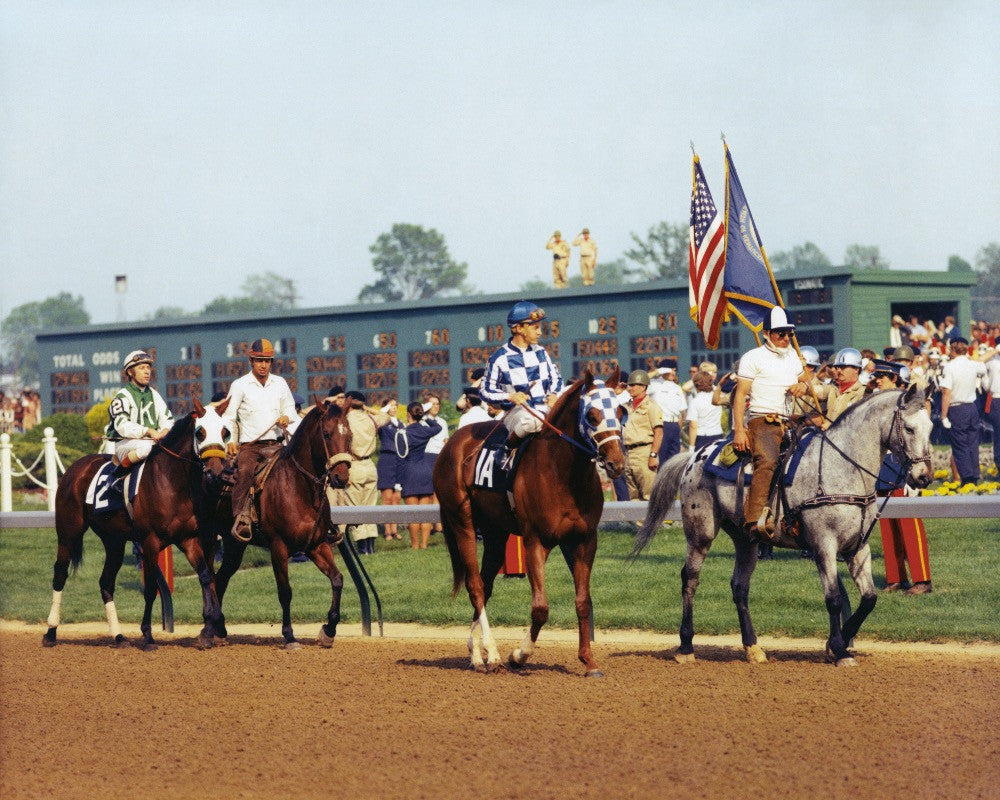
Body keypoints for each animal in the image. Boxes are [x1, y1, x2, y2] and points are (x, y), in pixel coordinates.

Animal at [45, 398, 232, 648]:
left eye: (225, 431)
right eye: (200, 433)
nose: (215, 473)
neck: (172, 483)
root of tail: (75, 468)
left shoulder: (188, 539)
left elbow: (205, 576)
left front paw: (209, 629)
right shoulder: (151, 541)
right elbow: (151, 588)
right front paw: (148, 635)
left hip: (113, 541)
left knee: (106, 582)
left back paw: (118, 636)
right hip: (69, 533)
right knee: (60, 574)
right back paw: (50, 632)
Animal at [210, 404, 352, 652]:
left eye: (350, 435)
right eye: (326, 433)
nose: (341, 477)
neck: (299, 488)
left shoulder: (316, 545)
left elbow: (337, 579)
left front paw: (328, 631)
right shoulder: (278, 546)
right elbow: (285, 591)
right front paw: (289, 636)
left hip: (235, 545)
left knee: (221, 579)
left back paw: (220, 630)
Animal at [436, 368, 624, 676]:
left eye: (620, 410)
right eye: (592, 415)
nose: (616, 464)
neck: (562, 473)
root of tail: (453, 441)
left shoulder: (584, 540)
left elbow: (583, 601)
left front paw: (589, 661)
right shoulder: (536, 540)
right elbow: (540, 607)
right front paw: (519, 654)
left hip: (496, 534)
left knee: (486, 585)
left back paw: (477, 654)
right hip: (462, 522)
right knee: (475, 585)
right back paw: (493, 654)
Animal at [628, 388, 932, 668]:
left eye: (930, 427)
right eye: (909, 428)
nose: (924, 477)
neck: (840, 470)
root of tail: (693, 457)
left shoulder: (857, 547)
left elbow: (869, 598)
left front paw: (839, 643)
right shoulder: (824, 545)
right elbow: (834, 598)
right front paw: (839, 649)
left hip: (746, 540)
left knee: (739, 587)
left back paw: (753, 647)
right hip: (700, 533)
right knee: (690, 579)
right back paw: (686, 646)